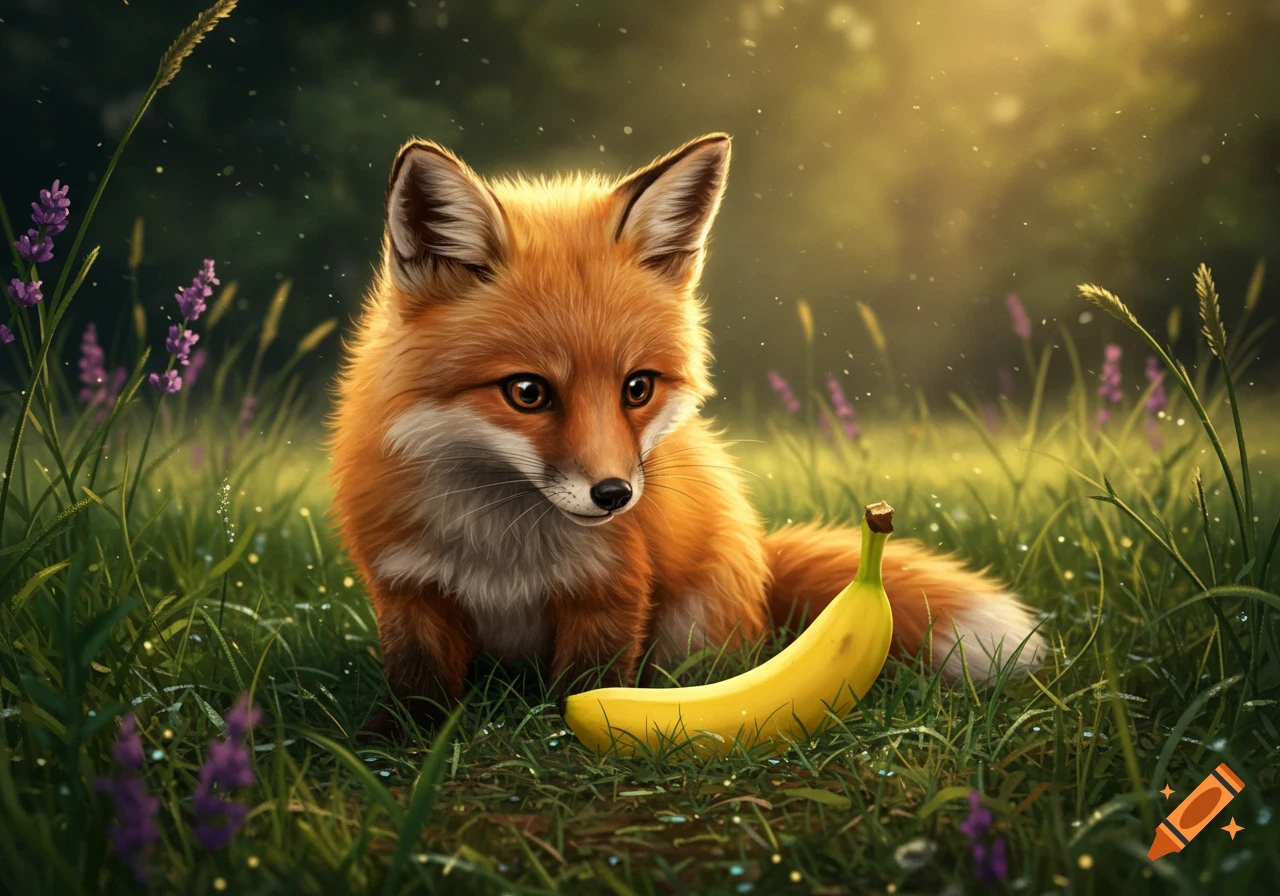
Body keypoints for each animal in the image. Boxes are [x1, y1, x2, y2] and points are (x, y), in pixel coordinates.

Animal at [328, 133, 1047, 734]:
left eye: (637, 388)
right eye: (527, 393)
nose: (615, 495)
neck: (504, 548)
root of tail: (760, 566)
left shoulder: (613, 589)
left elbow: (585, 683)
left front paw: (571, 734)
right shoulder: (408, 589)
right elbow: (418, 687)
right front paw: (398, 745)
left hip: (692, 624)